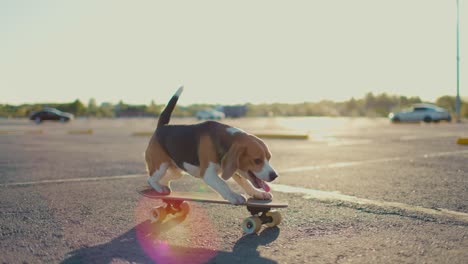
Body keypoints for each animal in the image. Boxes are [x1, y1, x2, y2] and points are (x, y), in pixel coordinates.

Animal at [144, 86, 278, 204]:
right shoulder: (208, 174)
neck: (227, 139)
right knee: (150, 179)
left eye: (269, 158)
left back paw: (163, 187)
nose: (275, 176)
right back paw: (159, 188)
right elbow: (223, 183)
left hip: (177, 171)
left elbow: (246, 182)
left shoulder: (231, 167)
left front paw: (258, 193)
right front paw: (234, 196)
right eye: (257, 160)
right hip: (160, 166)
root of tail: (162, 127)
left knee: (165, 179)